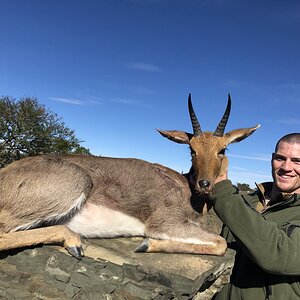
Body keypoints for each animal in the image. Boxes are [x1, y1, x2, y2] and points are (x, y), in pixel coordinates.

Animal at [0, 94, 258, 258]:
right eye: (191, 149)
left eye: (222, 149)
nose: (204, 183)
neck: (188, 192)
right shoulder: (163, 224)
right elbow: (221, 244)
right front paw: (146, 245)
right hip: (76, 184)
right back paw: (74, 243)